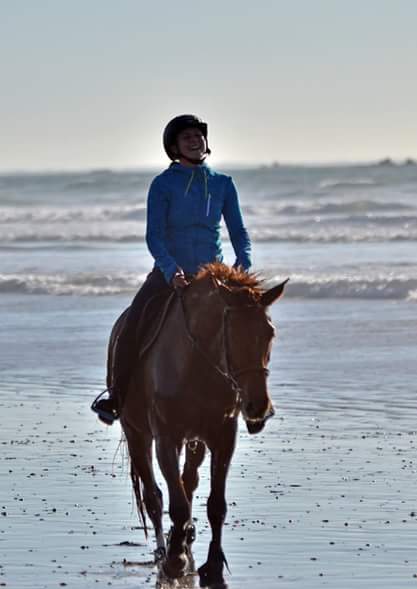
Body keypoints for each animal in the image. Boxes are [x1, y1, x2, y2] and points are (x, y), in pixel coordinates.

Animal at [109, 264, 288, 584]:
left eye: (270, 332)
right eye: (233, 334)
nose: (258, 407)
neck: (197, 362)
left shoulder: (223, 438)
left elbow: (216, 505)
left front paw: (213, 565)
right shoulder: (166, 439)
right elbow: (176, 504)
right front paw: (175, 561)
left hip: (195, 441)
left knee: (187, 481)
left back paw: (185, 539)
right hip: (136, 434)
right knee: (154, 497)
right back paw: (164, 551)